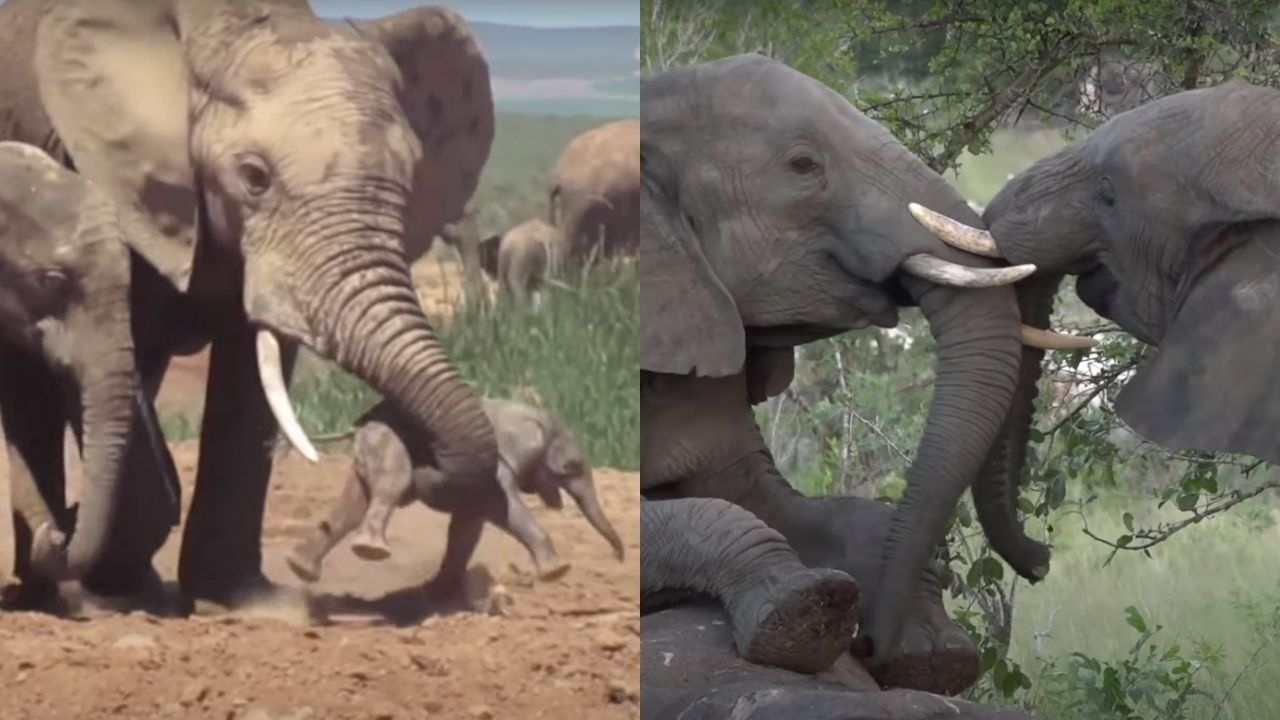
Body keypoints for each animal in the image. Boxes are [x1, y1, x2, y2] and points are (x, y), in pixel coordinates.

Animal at [0, 0, 499, 610]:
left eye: (410, 178)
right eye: (253, 178)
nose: (421, 457)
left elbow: (254, 374)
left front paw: (248, 602)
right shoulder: (99, 169)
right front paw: (123, 591)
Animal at [285, 397, 626, 588]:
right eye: (571, 466)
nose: (618, 558)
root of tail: (357, 427)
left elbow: (466, 529)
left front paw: (439, 590)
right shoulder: (497, 468)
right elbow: (509, 512)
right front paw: (557, 573)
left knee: (351, 507)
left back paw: (301, 568)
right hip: (390, 445)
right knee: (389, 487)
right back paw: (371, 551)